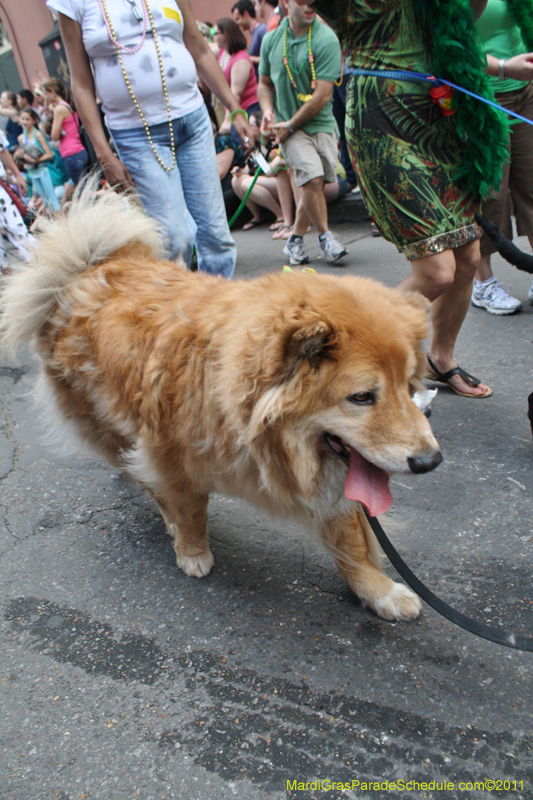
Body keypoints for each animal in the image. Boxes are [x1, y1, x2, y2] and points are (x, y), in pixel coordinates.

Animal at [0, 189, 440, 624]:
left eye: (407, 387)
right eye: (362, 397)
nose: (431, 461)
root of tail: (82, 272)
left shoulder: (333, 484)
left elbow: (351, 543)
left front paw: (378, 590)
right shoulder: (170, 456)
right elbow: (191, 508)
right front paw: (193, 552)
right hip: (110, 428)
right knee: (144, 480)